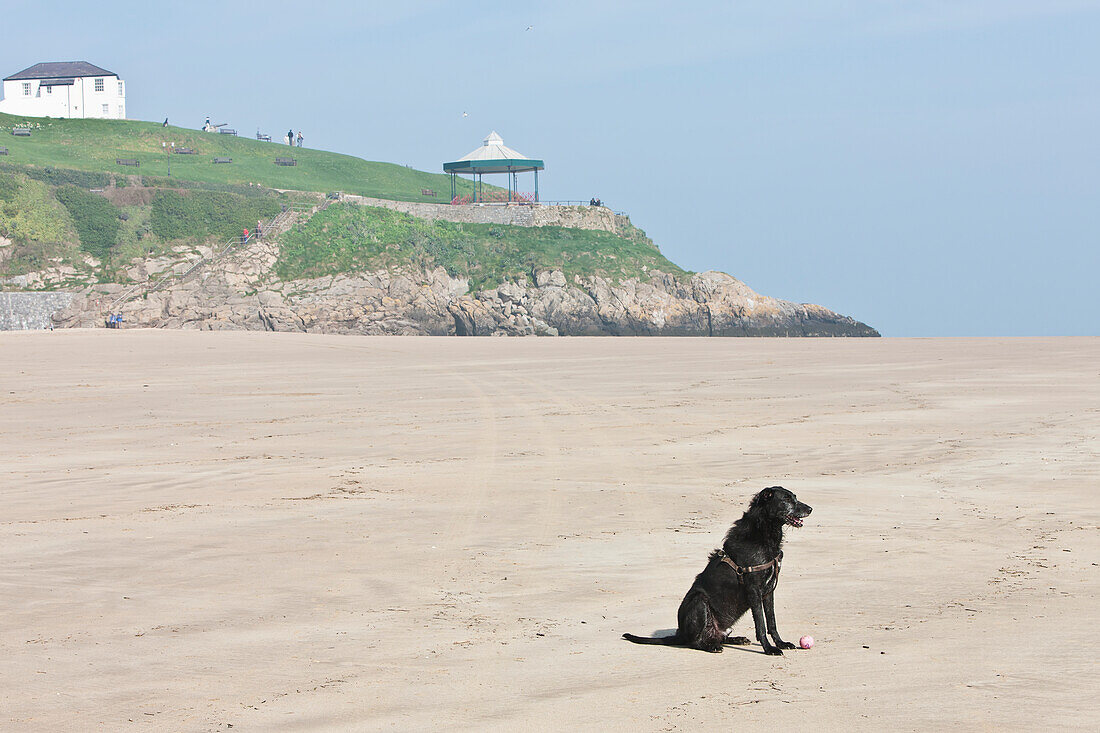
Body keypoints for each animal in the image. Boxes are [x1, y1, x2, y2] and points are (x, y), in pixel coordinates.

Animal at [624, 484, 814, 651]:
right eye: (787, 500)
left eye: (795, 497)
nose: (811, 509)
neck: (764, 533)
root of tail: (680, 634)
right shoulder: (754, 590)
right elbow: (760, 624)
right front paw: (769, 649)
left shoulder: (768, 591)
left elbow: (772, 622)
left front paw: (781, 643)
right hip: (699, 601)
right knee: (695, 642)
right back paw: (711, 647)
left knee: (719, 636)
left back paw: (736, 639)